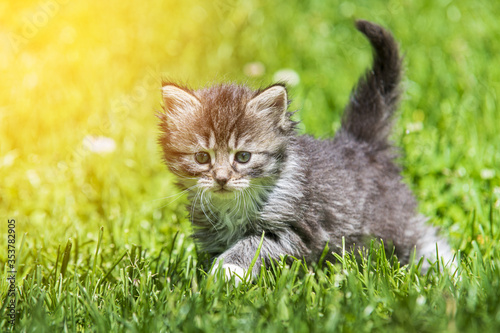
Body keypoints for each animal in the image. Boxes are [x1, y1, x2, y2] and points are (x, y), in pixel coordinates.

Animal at [156, 20, 454, 280]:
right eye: (202, 157)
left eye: (243, 157)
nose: (221, 178)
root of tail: (361, 143)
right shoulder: (212, 230)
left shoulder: (297, 228)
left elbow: (253, 244)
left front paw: (229, 269)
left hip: (391, 222)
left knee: (425, 237)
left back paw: (450, 271)